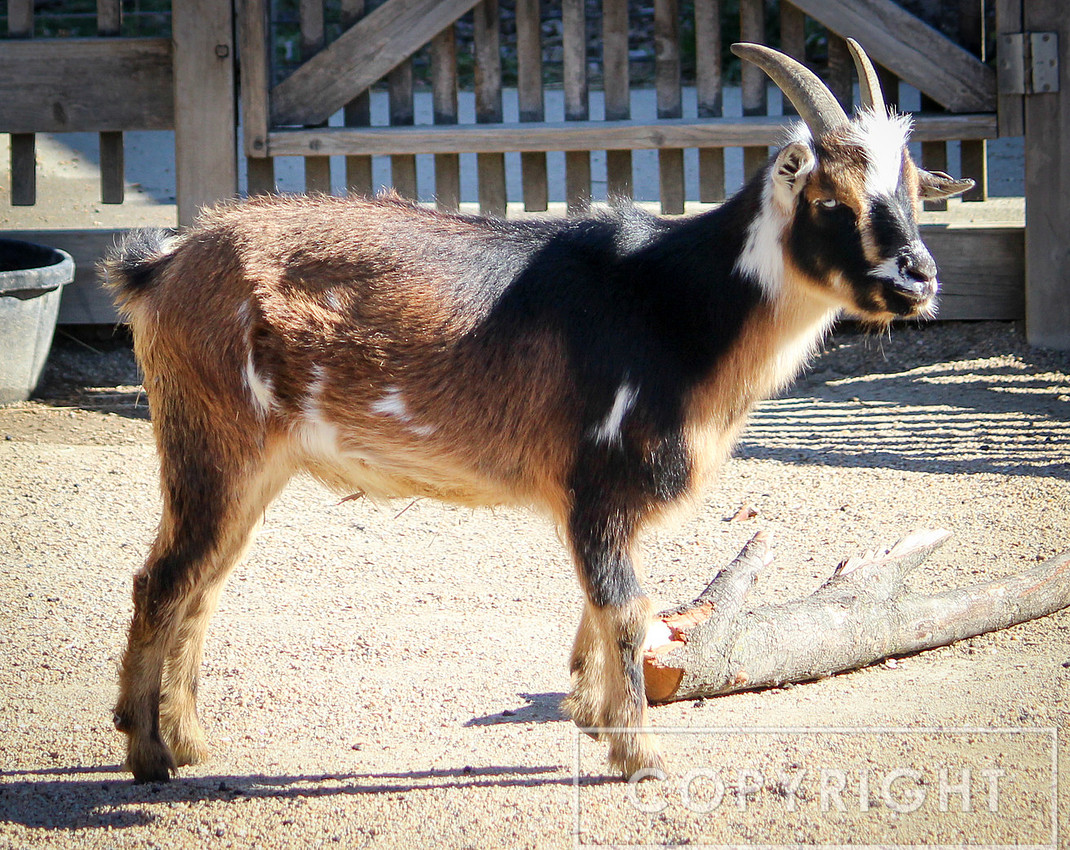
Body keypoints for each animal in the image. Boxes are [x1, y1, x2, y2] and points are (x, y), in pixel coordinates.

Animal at [104, 40, 972, 783]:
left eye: (910, 192)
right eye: (831, 197)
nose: (920, 278)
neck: (677, 303)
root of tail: (162, 266)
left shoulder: (595, 502)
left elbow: (600, 605)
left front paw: (590, 712)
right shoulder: (601, 481)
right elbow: (628, 608)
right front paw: (639, 755)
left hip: (250, 466)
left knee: (202, 585)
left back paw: (190, 742)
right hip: (213, 446)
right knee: (162, 581)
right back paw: (148, 755)